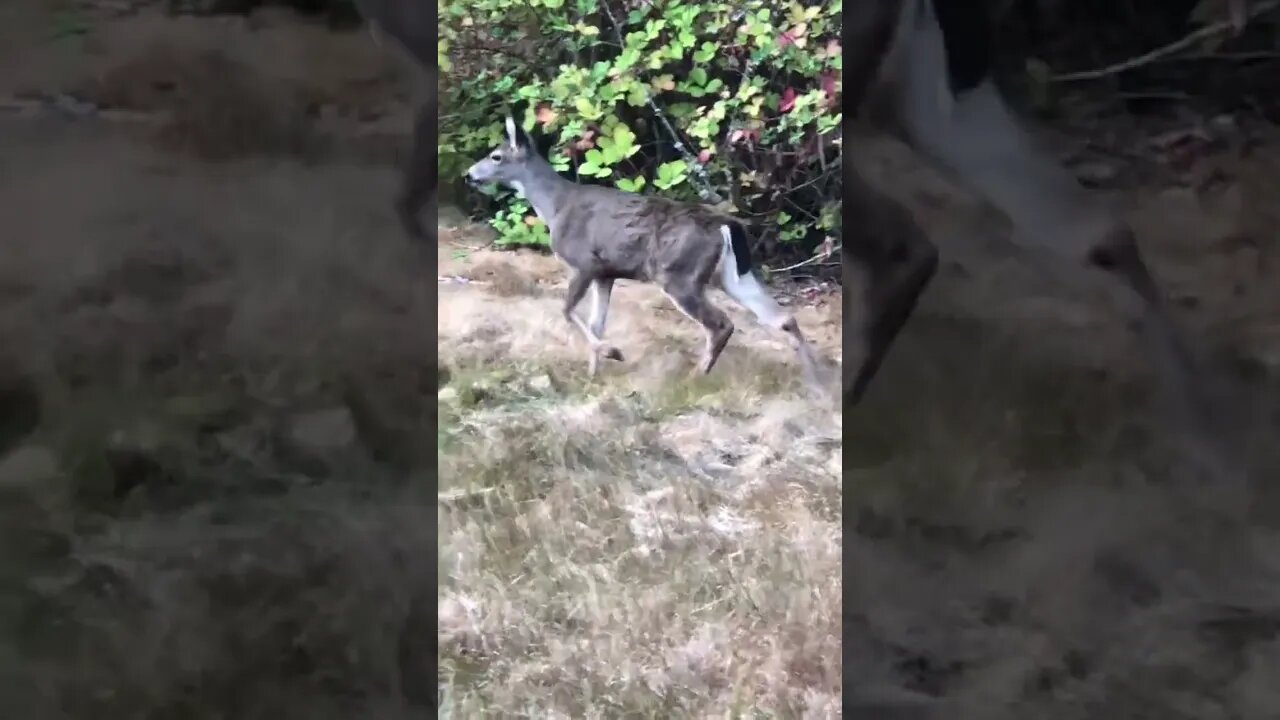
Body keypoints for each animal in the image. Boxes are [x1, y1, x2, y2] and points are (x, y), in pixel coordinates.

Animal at [465, 117, 824, 386]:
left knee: (722, 324)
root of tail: (726, 225)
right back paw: (819, 384)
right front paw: (593, 375)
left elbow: (566, 311)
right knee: (782, 317)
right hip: (730, 274)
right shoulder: (606, 272)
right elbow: (596, 322)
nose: (469, 175)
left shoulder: (584, 263)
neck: (554, 207)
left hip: (678, 273)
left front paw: (612, 353)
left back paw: (695, 379)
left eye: (496, 156)